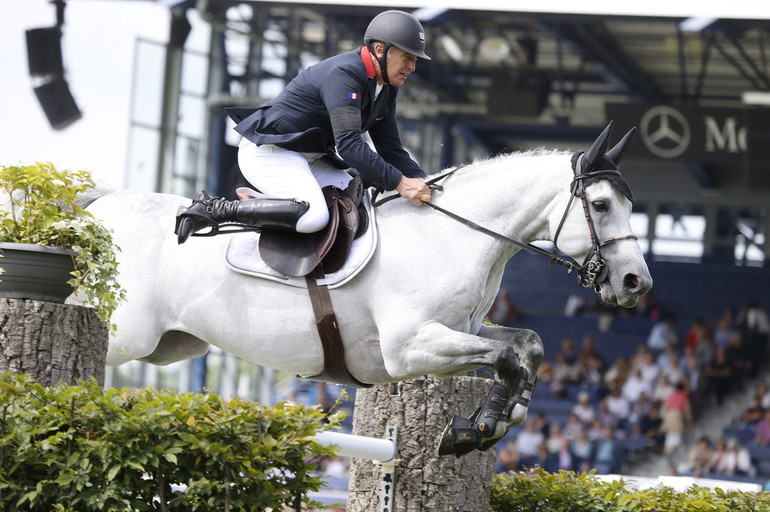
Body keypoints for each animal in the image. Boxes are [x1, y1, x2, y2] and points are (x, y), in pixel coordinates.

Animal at [82, 123, 648, 456]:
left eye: (629, 204)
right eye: (601, 205)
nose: (636, 283)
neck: (454, 233)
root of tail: (99, 207)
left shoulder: (459, 330)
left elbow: (526, 346)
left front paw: (494, 422)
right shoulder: (407, 348)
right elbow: (507, 358)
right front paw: (478, 428)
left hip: (170, 346)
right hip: (123, 333)